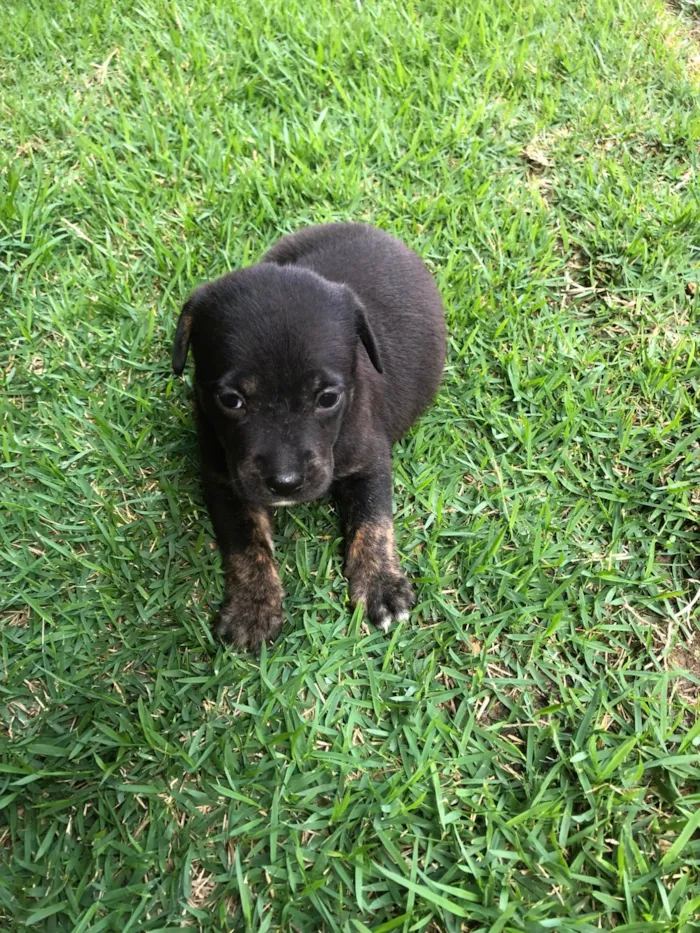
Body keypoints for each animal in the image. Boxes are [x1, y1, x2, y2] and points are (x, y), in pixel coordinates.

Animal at [173, 224, 446, 648]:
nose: (285, 483)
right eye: (231, 400)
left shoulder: (369, 460)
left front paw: (381, 586)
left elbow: (374, 520)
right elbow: (245, 542)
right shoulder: (223, 479)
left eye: (328, 398)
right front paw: (253, 606)